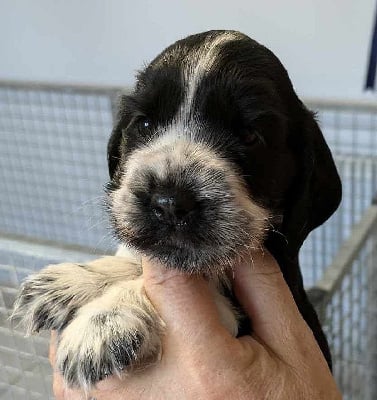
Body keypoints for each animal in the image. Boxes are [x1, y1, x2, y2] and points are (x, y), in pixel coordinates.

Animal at [12, 30, 340, 390]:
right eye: (143, 124)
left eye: (249, 135)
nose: (169, 203)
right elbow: (138, 261)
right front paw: (71, 282)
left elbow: (204, 282)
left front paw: (106, 320)